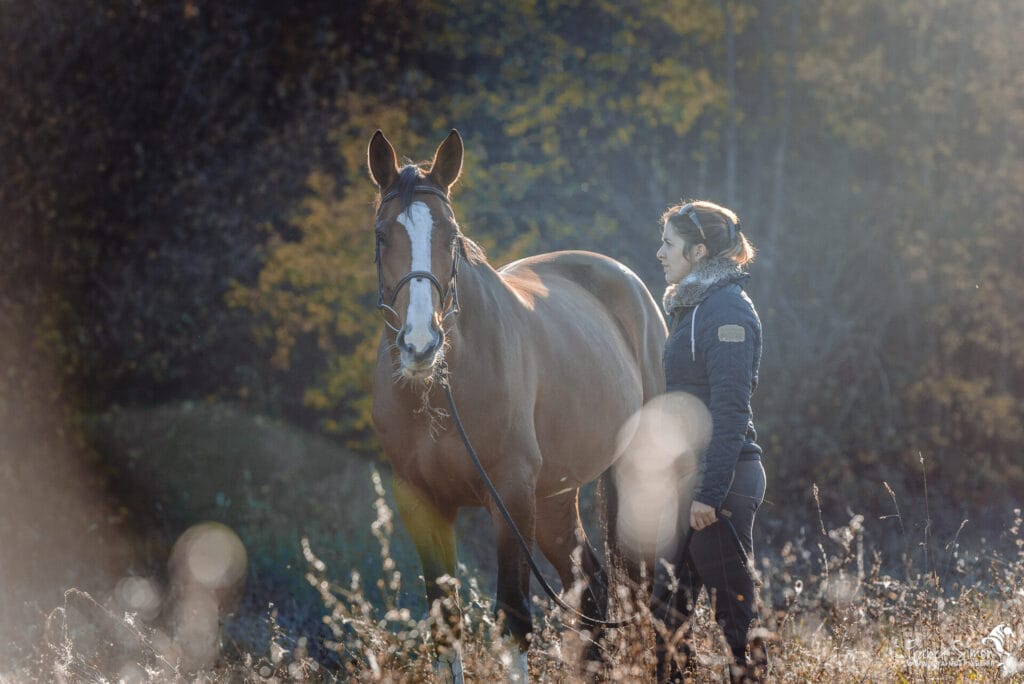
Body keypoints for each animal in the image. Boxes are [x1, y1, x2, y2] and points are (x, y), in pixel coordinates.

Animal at [368, 129, 666, 682]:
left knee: (645, 594)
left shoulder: (508, 494)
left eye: (451, 237)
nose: (420, 345)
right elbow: (446, 626)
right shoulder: (420, 501)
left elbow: (514, 618)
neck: (442, 392)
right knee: (593, 590)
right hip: (553, 499)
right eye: (382, 236)